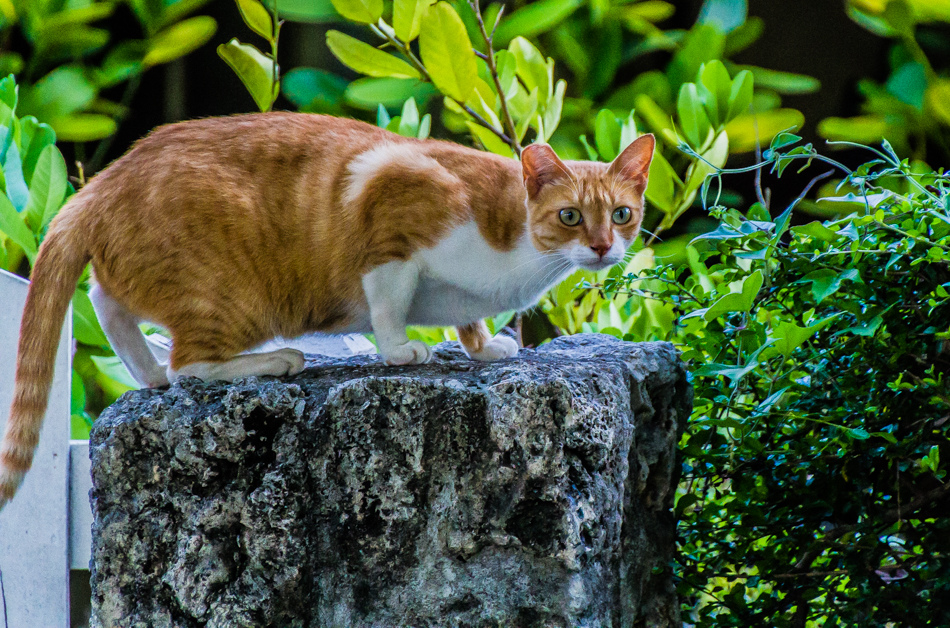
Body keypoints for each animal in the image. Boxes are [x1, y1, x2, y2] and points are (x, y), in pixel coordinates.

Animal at [0, 111, 656, 506]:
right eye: (570, 216)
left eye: (622, 214)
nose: (602, 246)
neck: (517, 258)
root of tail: (103, 182)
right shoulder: (391, 220)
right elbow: (389, 304)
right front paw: (399, 352)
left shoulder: (462, 292)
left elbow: (466, 318)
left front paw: (483, 345)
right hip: (228, 298)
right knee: (190, 363)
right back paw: (271, 361)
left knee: (108, 305)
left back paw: (147, 372)